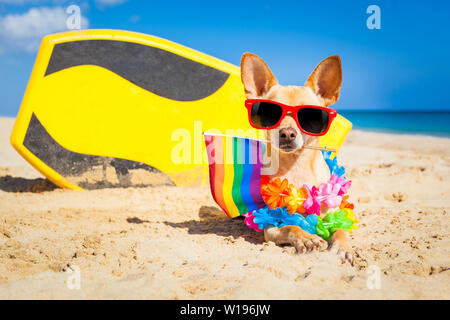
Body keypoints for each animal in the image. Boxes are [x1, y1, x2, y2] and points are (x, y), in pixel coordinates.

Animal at [241, 52, 354, 262]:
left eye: (311, 116)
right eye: (270, 113)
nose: (287, 133)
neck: (296, 166)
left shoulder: (333, 216)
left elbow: (341, 230)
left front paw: (343, 246)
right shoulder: (271, 227)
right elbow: (290, 226)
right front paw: (307, 238)